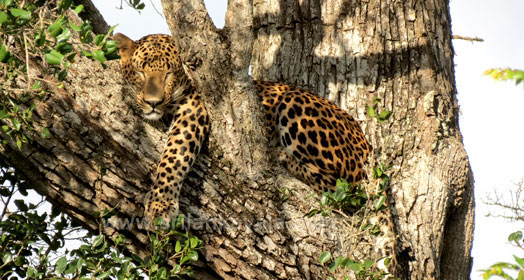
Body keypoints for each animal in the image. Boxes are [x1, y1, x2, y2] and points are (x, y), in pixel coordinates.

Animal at [114, 33, 370, 225]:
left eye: (170, 73)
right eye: (140, 72)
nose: (153, 102)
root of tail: (367, 145)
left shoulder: (195, 108)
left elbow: (174, 156)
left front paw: (161, 205)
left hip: (294, 102)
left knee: (346, 191)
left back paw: (281, 156)